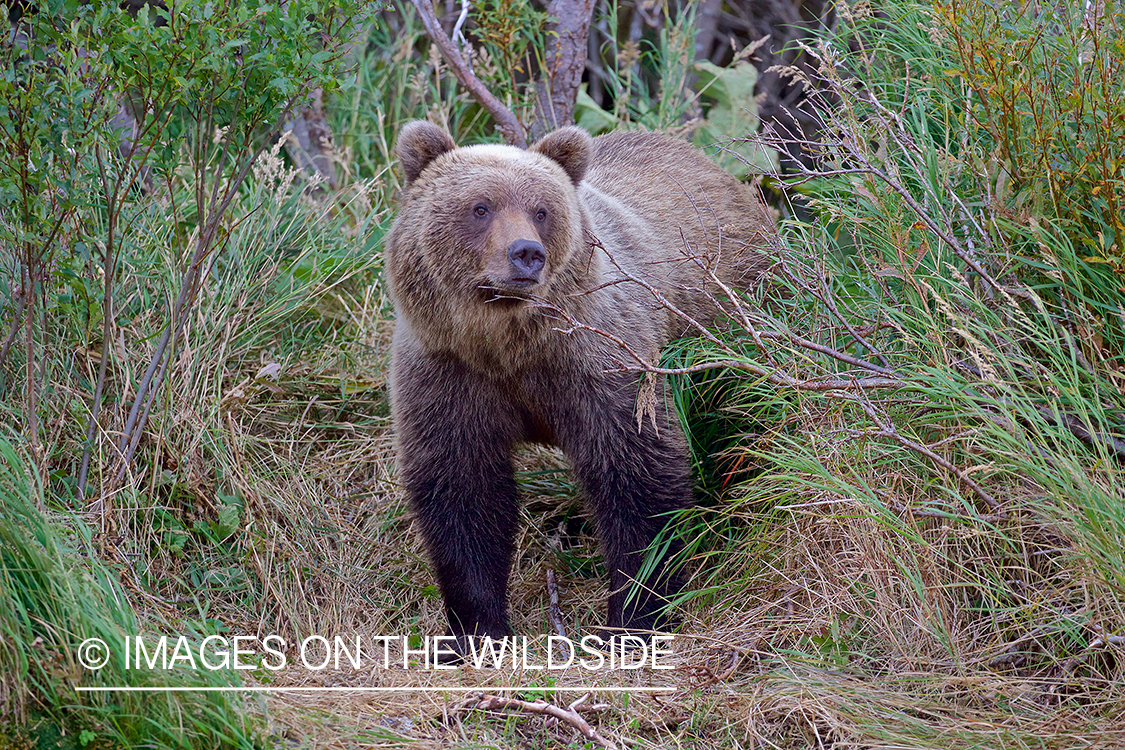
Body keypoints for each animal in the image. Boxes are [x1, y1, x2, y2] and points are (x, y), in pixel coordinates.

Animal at [384, 120, 774, 652]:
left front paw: (634, 618)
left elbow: (637, 477)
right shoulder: (448, 375)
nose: (526, 254)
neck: (509, 346)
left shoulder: (599, 364)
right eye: (480, 207)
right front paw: (474, 632)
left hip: (734, 318)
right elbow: (462, 492)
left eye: (541, 210)